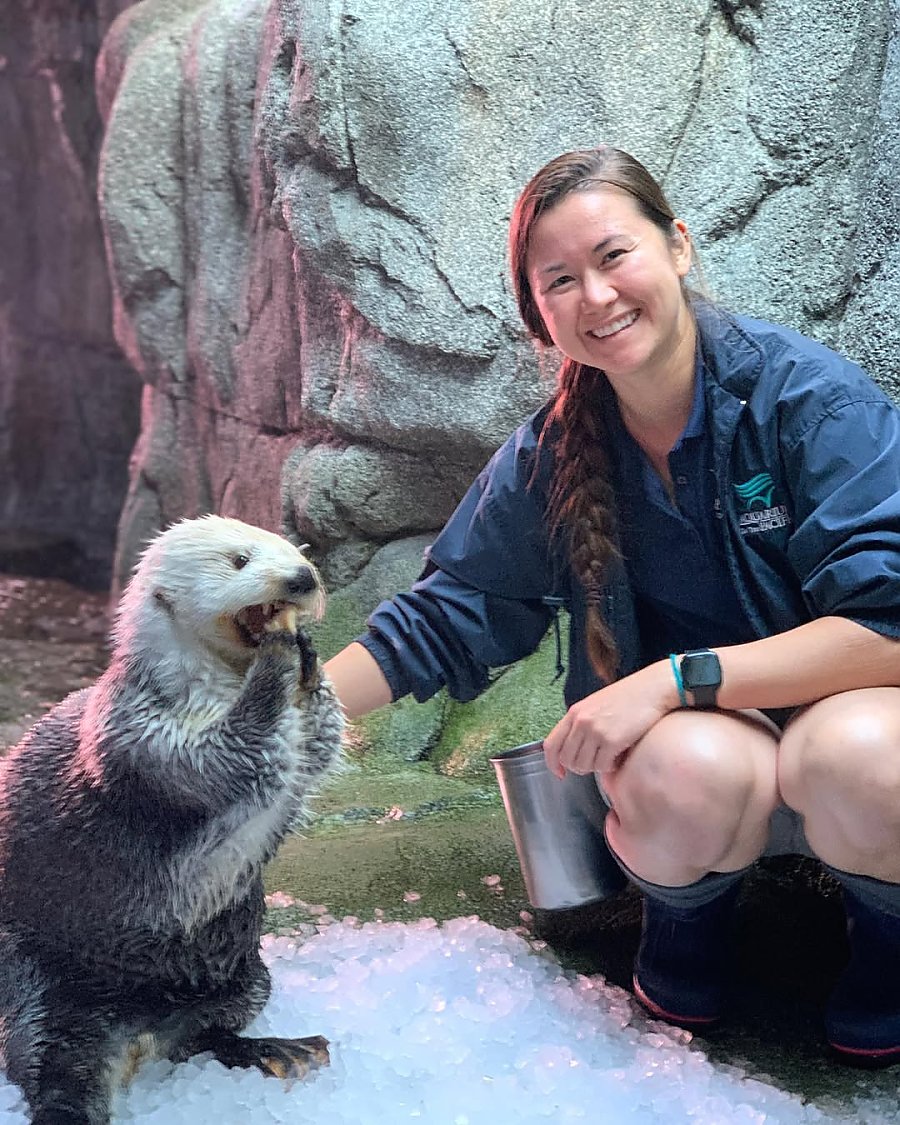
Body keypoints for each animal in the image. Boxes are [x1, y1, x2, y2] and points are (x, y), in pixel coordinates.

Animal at [0, 515, 345, 1124]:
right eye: (240, 560)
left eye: (296, 551)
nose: (302, 578)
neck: (213, 683)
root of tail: (141, 1029)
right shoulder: (141, 733)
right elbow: (228, 753)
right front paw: (279, 654)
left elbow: (316, 746)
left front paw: (307, 658)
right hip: (33, 975)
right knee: (50, 1058)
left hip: (245, 978)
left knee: (206, 1034)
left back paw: (279, 1051)